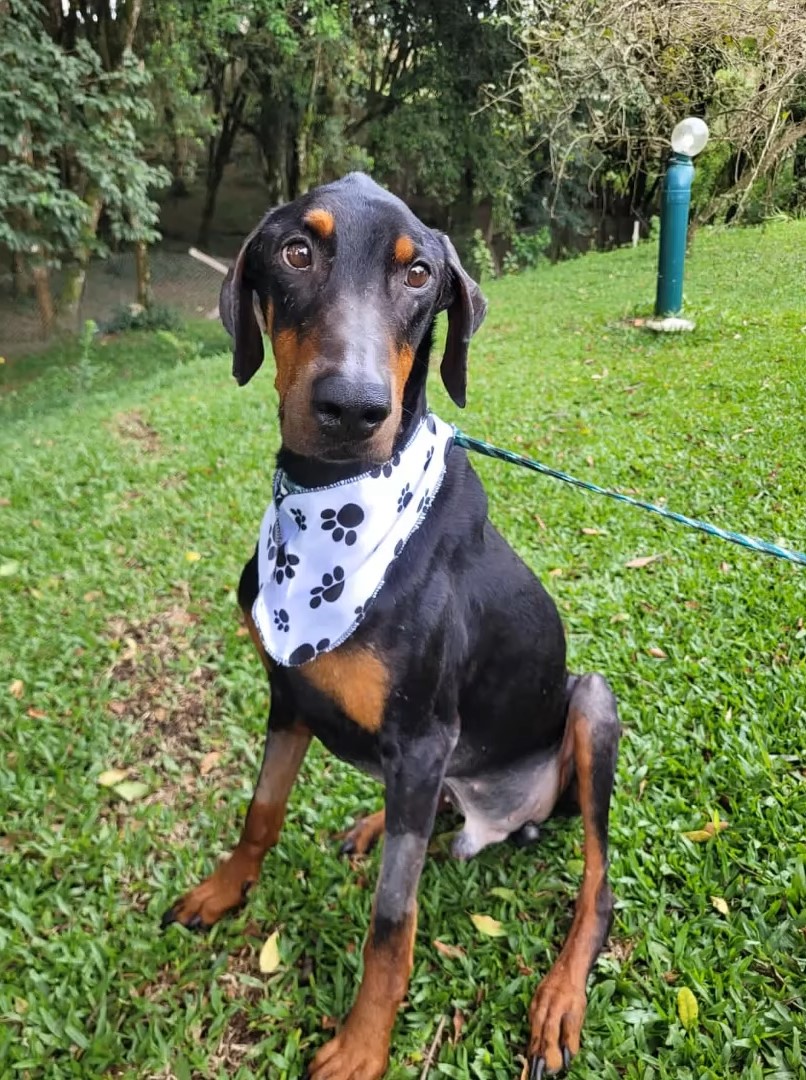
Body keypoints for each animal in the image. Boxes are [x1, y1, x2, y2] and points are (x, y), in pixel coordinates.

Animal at [159, 172, 618, 1075]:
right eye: (296, 251)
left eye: (418, 276)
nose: (352, 407)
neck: (329, 508)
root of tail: (502, 821)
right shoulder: (288, 696)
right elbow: (260, 812)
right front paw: (223, 892)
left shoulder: (423, 734)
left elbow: (391, 921)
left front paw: (362, 1044)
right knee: (429, 816)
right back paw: (377, 825)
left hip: (590, 702)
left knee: (598, 885)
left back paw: (559, 998)